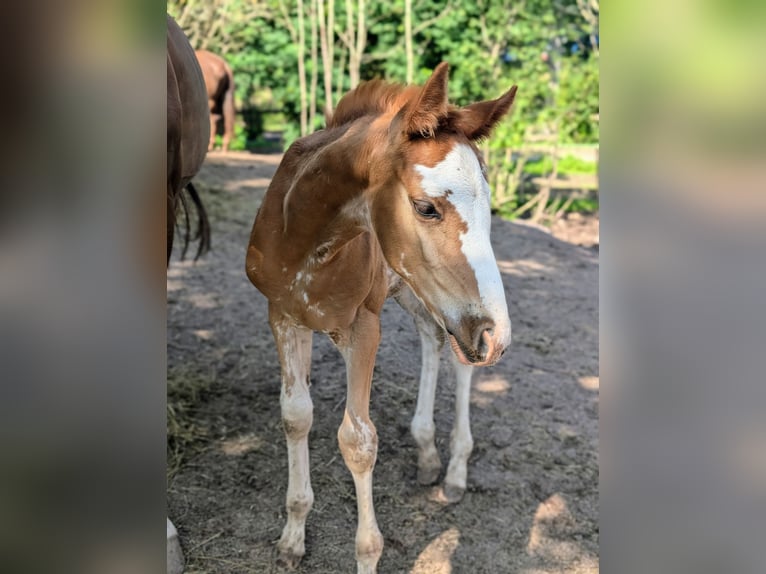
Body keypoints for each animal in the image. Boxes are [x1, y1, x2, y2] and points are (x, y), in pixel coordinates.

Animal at [248, 63, 516, 572]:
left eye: (490, 207)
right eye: (426, 207)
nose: (498, 338)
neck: (305, 237)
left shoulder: (363, 327)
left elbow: (358, 441)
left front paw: (367, 554)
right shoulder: (283, 315)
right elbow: (296, 415)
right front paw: (293, 537)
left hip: (438, 305)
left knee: (461, 362)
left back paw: (455, 469)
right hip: (420, 293)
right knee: (434, 338)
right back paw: (427, 450)